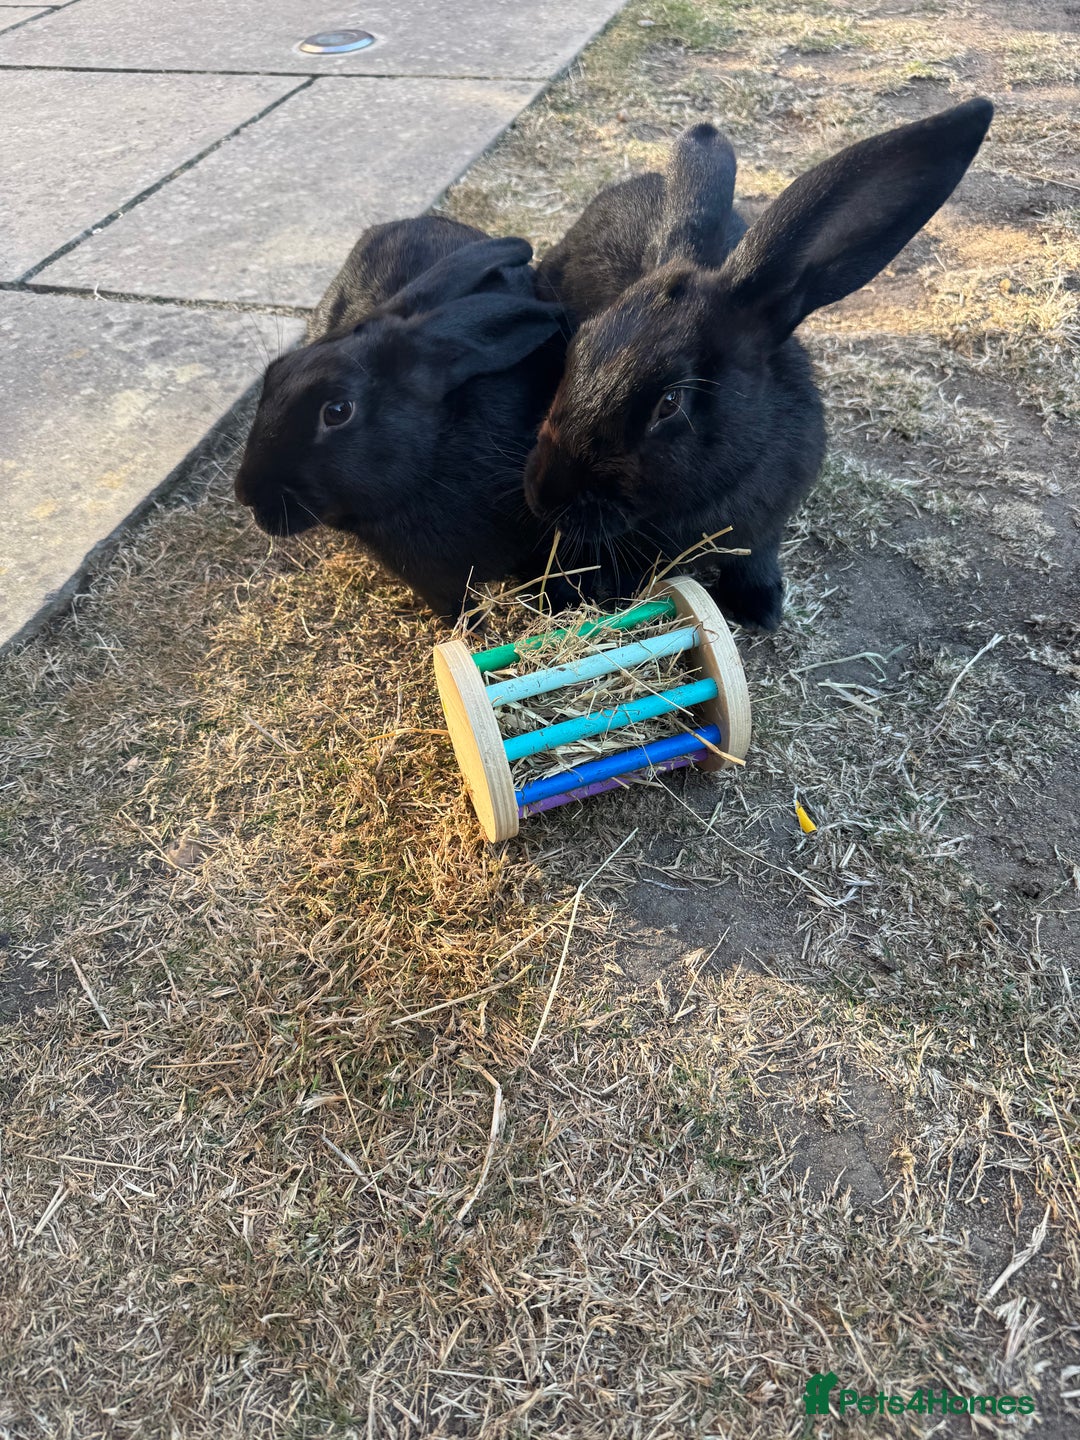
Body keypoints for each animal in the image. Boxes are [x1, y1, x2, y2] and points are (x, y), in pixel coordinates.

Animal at [527, 99, 994, 630]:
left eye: (670, 402)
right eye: (578, 347)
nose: (544, 496)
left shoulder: (765, 530)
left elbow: (755, 558)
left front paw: (762, 608)